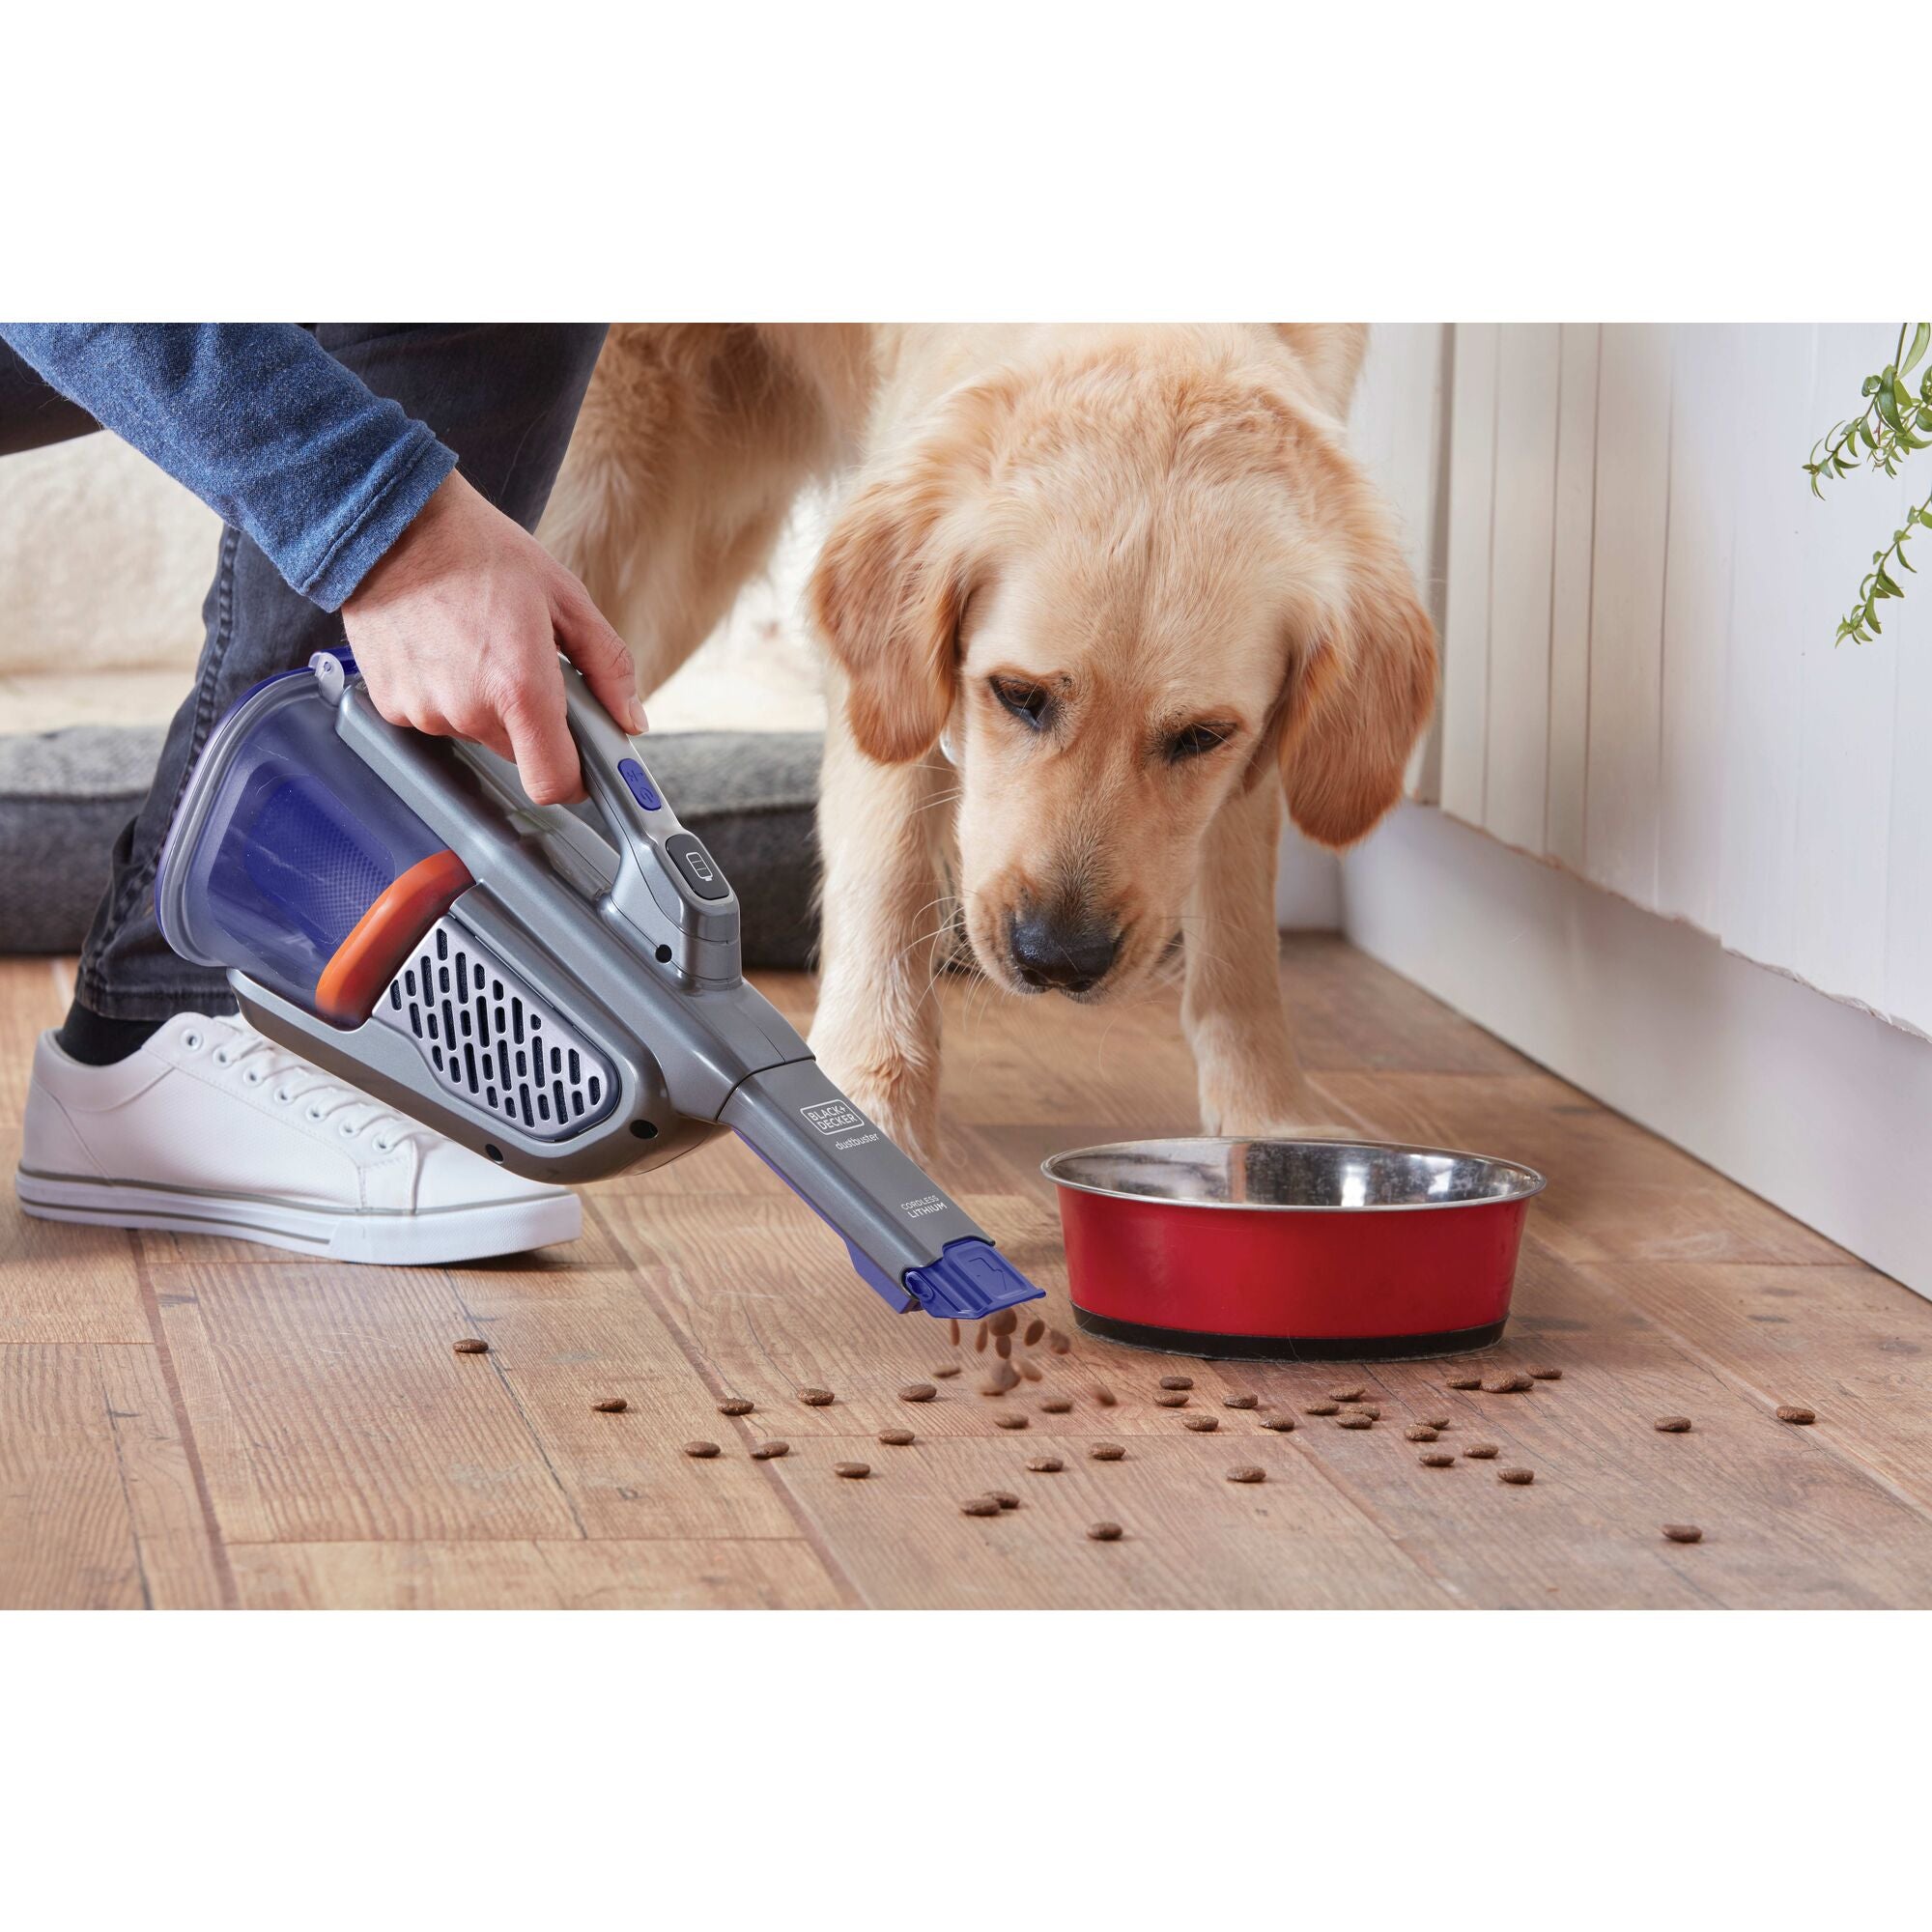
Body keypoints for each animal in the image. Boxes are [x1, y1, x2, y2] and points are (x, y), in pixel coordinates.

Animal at [545, 328, 1437, 1159]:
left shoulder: (1253, 755)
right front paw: (873, 1100)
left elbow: (1243, 924)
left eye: (1201, 735)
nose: (1057, 959)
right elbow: (889, 873)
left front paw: (1268, 1122)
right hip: (617, 525)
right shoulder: (896, 682)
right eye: (1018, 696)